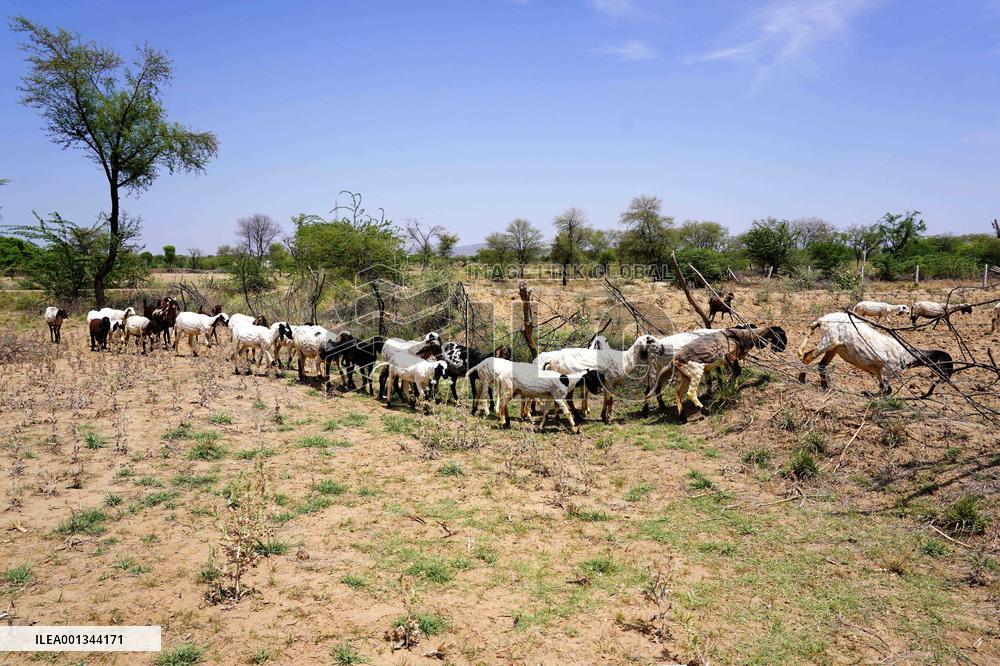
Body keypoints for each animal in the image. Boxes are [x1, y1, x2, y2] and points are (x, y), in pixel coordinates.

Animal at [467, 357, 604, 433]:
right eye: (593, 377)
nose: (600, 390)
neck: (567, 380)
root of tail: (501, 376)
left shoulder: (550, 397)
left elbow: (545, 412)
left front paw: (540, 427)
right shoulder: (558, 397)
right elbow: (567, 412)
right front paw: (575, 428)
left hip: (509, 391)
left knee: (501, 403)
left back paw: (507, 422)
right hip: (503, 389)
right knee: (500, 404)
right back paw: (501, 422)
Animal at [797, 312, 953, 394]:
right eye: (946, 364)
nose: (947, 378)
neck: (907, 355)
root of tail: (821, 320)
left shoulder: (879, 373)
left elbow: (886, 390)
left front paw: (868, 394)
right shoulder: (886, 371)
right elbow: (887, 390)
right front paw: (868, 394)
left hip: (834, 347)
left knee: (821, 365)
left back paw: (825, 387)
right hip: (828, 341)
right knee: (807, 357)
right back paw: (801, 379)